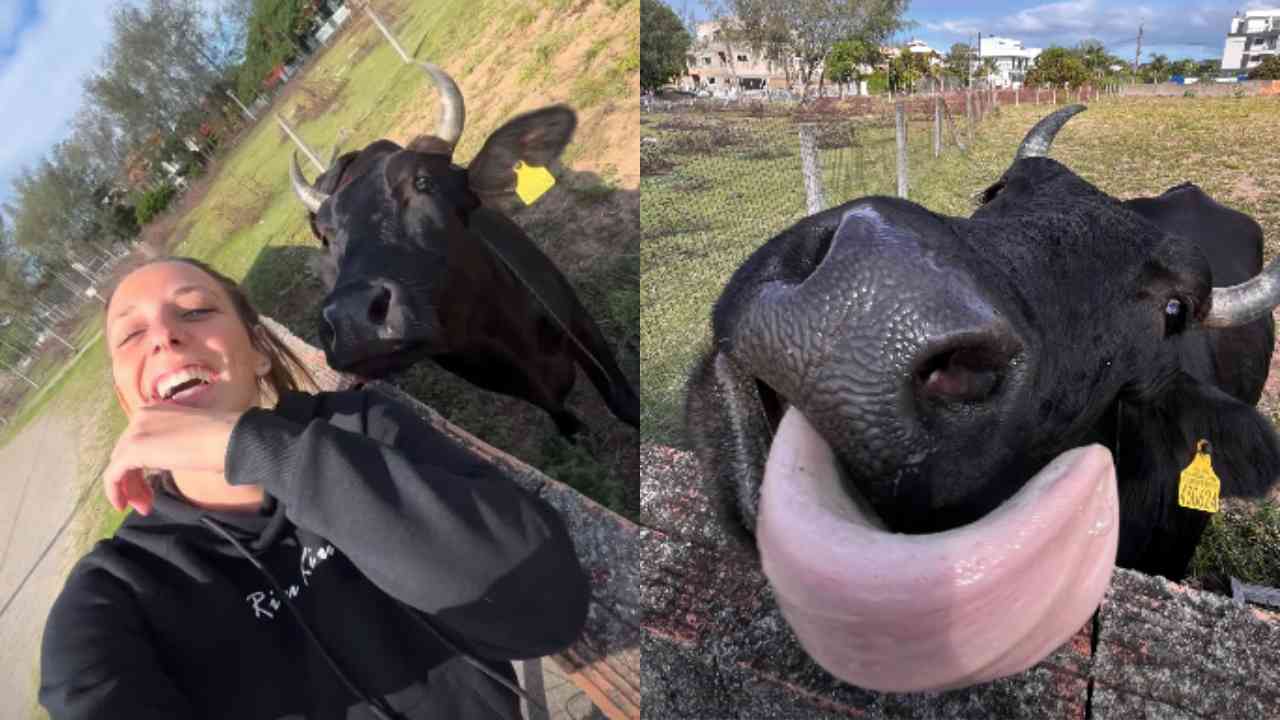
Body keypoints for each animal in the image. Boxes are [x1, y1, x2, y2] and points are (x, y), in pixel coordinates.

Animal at [286, 61, 638, 437]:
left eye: (423, 182)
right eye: (326, 233)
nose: (352, 318)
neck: (512, 333)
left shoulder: (578, 320)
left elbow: (623, 402)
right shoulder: (513, 385)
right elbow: (566, 421)